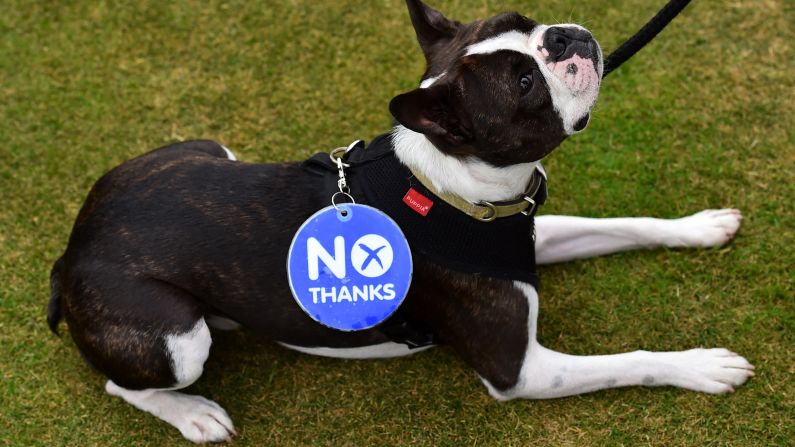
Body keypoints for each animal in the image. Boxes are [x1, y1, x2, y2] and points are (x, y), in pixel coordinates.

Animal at [46, 0, 756, 444]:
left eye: (525, 22)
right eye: (525, 84)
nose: (562, 37)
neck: (457, 190)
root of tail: (74, 248)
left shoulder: (527, 234)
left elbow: (627, 222)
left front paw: (700, 226)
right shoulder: (519, 370)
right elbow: (629, 360)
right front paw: (700, 366)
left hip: (209, 149)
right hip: (176, 338)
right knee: (123, 384)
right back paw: (194, 415)